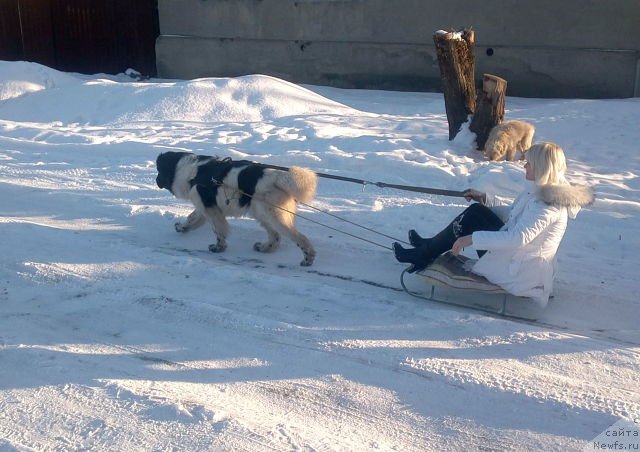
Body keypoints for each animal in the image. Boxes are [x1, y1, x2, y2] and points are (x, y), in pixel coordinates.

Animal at [158, 152, 318, 264]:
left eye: (159, 170)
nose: (156, 180)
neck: (190, 172)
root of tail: (276, 177)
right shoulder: (205, 205)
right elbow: (192, 217)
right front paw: (182, 227)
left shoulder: (210, 209)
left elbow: (218, 230)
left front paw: (219, 247)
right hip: (262, 213)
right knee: (275, 236)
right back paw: (264, 248)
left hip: (273, 216)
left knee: (299, 237)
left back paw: (308, 259)